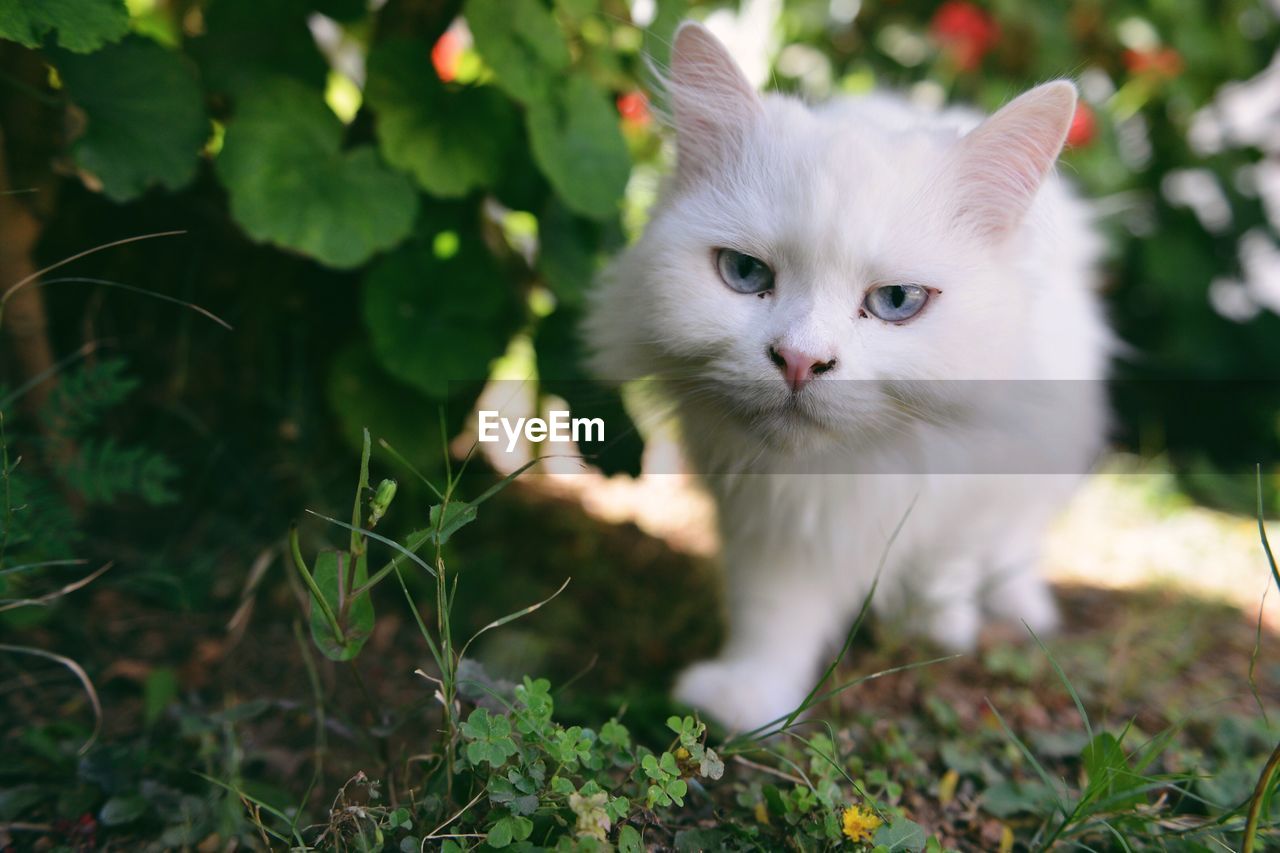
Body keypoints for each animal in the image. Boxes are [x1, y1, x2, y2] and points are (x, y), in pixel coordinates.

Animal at [583, 23, 1111, 727]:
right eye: (745, 274)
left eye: (897, 301)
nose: (800, 360)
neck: (855, 472)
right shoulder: (769, 519)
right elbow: (774, 617)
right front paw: (749, 701)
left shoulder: (982, 475)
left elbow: (949, 558)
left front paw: (937, 624)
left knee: (1012, 549)